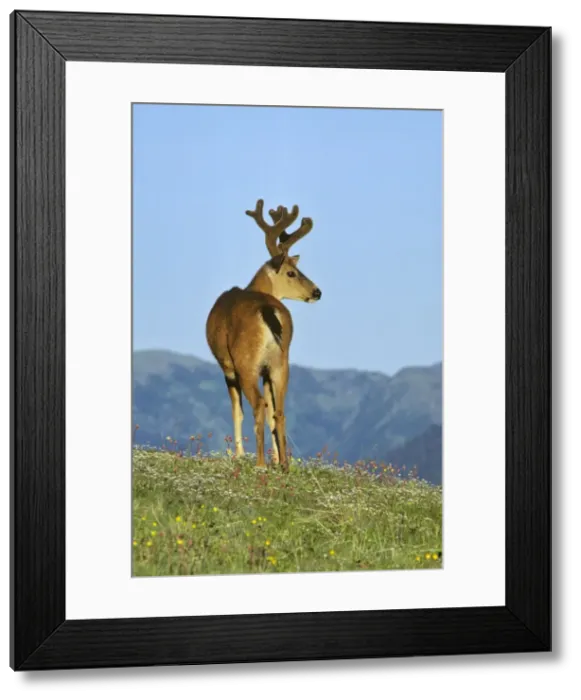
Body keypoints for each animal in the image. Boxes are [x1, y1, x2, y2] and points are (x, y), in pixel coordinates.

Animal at [205, 198, 322, 472]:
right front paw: (277, 458)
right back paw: (285, 465)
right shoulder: (268, 370)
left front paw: (238, 455)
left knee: (258, 404)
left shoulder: (227, 366)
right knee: (279, 410)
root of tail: (268, 310)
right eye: (292, 272)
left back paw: (259, 463)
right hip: (281, 361)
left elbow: (236, 409)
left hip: (246, 361)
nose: (317, 292)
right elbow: (271, 412)